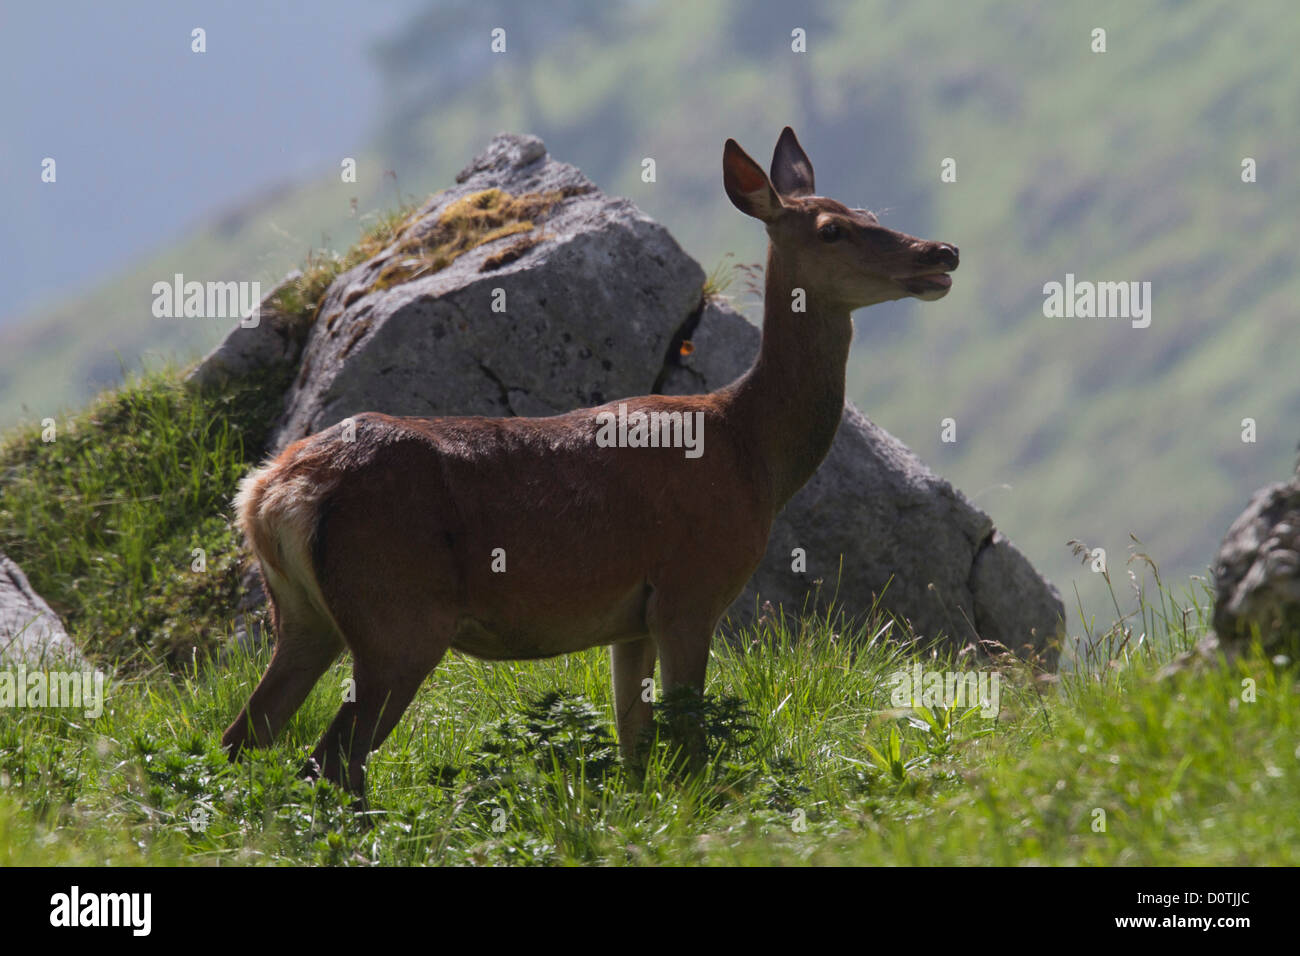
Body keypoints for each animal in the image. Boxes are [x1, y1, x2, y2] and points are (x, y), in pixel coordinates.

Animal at [220, 128, 956, 801]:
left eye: (868, 210)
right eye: (833, 230)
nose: (941, 251)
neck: (753, 453)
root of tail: (269, 492)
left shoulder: (630, 621)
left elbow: (635, 746)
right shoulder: (690, 586)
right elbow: (688, 744)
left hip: (304, 615)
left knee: (243, 737)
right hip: (398, 614)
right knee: (331, 758)